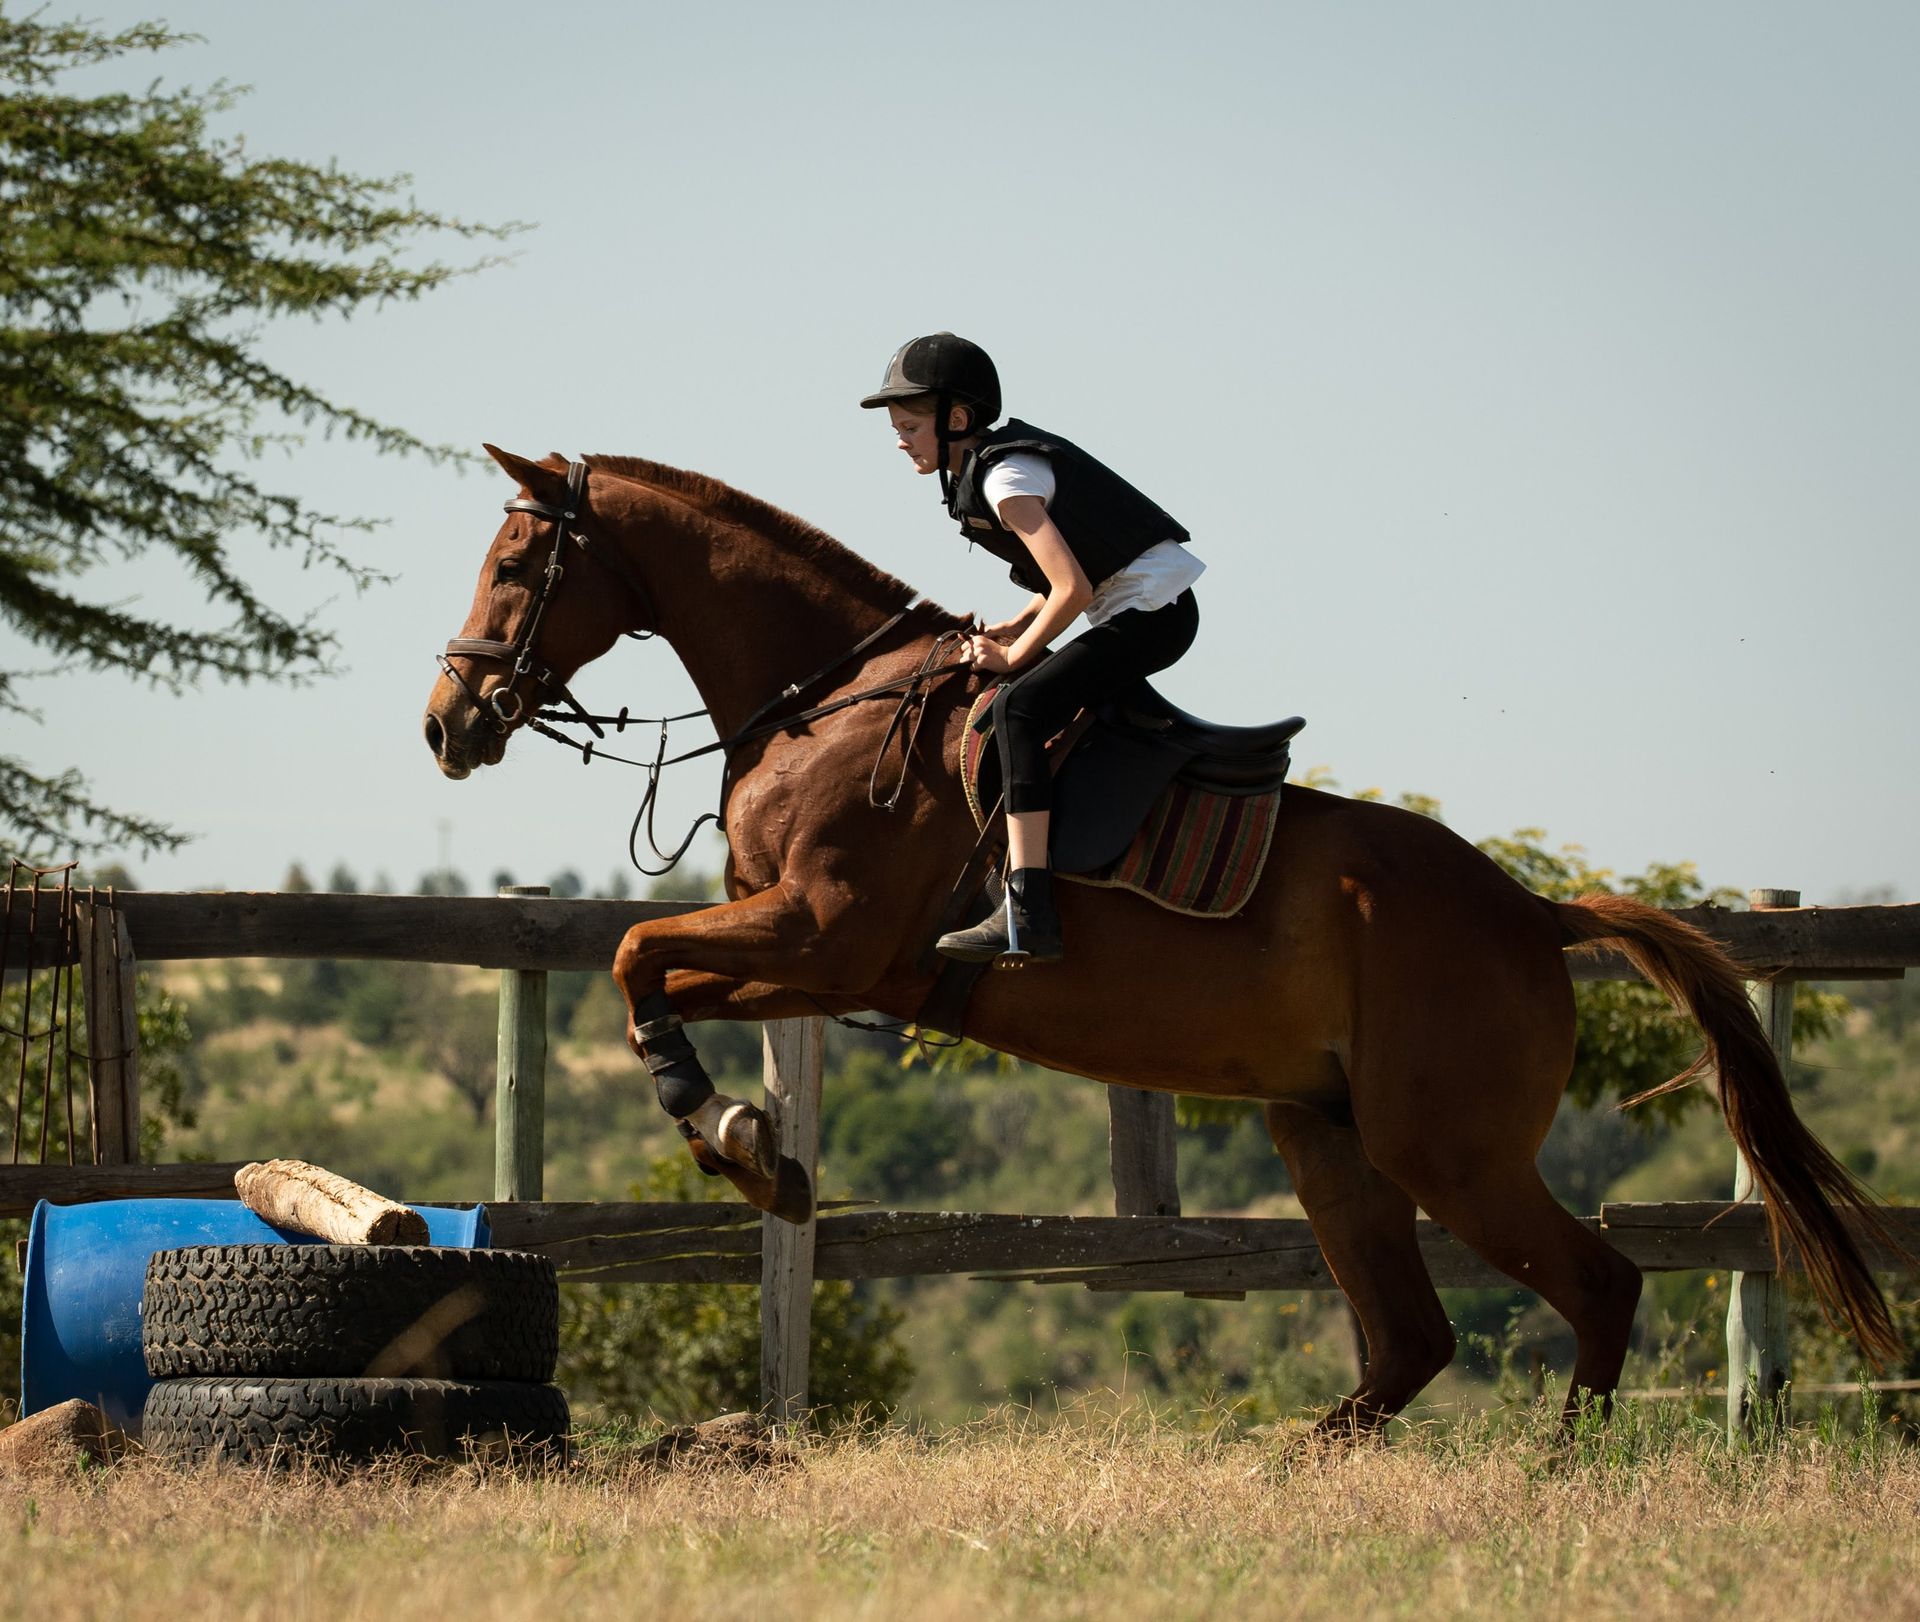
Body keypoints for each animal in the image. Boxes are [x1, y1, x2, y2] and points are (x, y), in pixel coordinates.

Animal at [423, 445, 1897, 1432]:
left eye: (514, 566)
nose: (447, 725)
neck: (829, 700)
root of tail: (1532, 910)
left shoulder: (830, 937)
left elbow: (635, 956)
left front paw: (735, 1138)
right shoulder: (819, 956)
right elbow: (656, 971)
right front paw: (748, 1143)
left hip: (1450, 1145)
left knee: (1596, 1285)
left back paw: (1557, 1462)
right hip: (1330, 1133)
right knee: (1409, 1339)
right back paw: (1306, 1459)